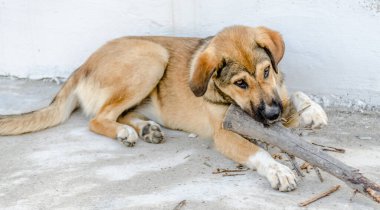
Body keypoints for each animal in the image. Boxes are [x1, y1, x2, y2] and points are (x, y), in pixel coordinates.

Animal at [0, 25, 326, 191]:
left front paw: (313, 110)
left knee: (117, 113)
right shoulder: (225, 134)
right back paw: (125, 132)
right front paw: (278, 170)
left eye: (266, 72)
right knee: (97, 118)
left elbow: (293, 93)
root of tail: (82, 66)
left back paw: (146, 128)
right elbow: (257, 152)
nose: (272, 117)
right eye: (240, 83)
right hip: (152, 56)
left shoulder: (276, 94)